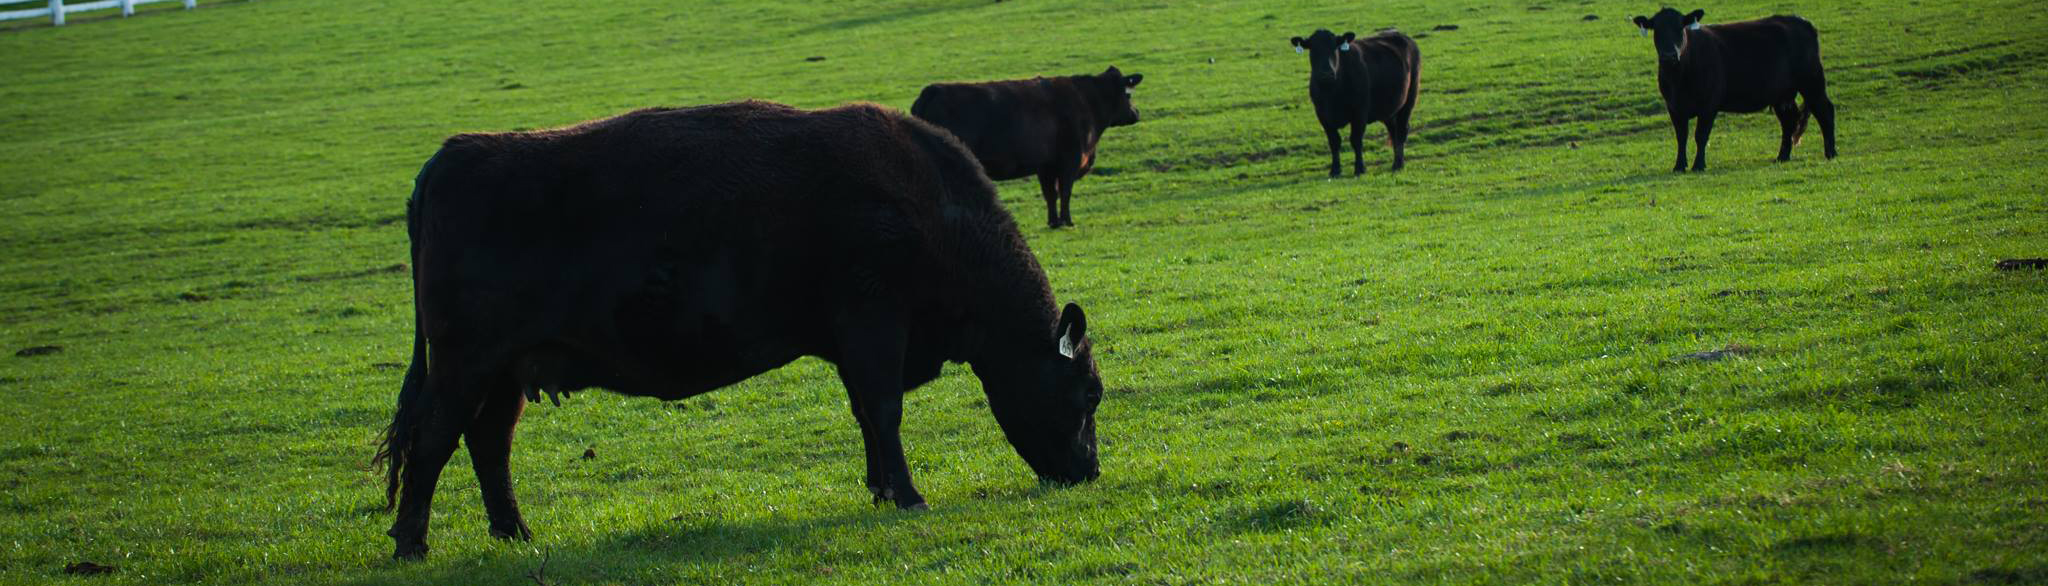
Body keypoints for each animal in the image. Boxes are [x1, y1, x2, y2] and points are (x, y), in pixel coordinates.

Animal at [368, 99, 1105, 557]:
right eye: (1087, 395)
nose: (1090, 472)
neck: (930, 206)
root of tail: (452, 157)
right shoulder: (874, 322)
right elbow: (885, 410)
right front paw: (908, 495)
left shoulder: (850, 343)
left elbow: (866, 415)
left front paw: (879, 488)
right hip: (463, 363)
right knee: (433, 442)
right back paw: (412, 543)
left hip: (505, 371)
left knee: (488, 444)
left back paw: (516, 533)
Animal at [917, 65, 1146, 227]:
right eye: (1128, 94)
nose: (1136, 113)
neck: (1087, 101)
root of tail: (932, 90)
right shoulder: (1069, 160)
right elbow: (1065, 191)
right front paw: (1067, 221)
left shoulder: (1046, 166)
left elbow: (1050, 194)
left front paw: (1054, 222)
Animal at [1286, 28, 1417, 177]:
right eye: (1313, 49)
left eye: (1334, 47)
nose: (1327, 73)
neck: (1331, 92)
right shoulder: (1322, 115)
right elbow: (1334, 141)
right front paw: (1335, 170)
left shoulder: (1359, 112)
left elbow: (1356, 139)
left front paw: (1360, 168)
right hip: (1388, 110)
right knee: (1393, 131)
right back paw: (1396, 162)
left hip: (1409, 99)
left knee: (1401, 131)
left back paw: (1399, 164)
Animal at [1630, 8, 1843, 173]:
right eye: (1657, 30)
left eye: (1680, 28)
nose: (1669, 55)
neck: (1679, 78)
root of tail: (1802, 22)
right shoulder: (1673, 107)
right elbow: (1681, 137)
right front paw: (1679, 166)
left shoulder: (1709, 105)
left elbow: (1700, 135)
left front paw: (1699, 165)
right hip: (1782, 94)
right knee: (1789, 120)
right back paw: (1782, 156)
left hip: (1812, 81)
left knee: (1825, 111)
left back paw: (1830, 153)